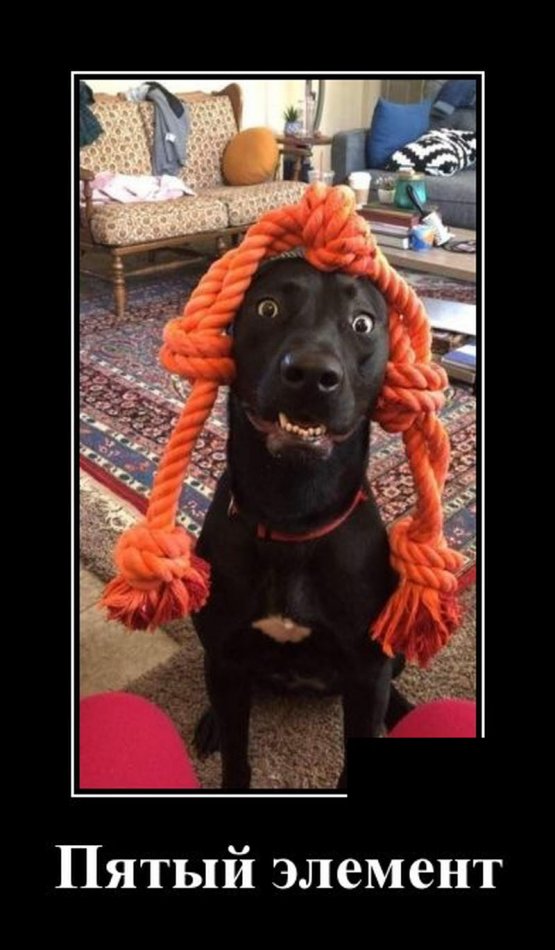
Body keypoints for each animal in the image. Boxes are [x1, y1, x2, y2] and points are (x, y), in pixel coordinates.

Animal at [192, 255, 412, 789]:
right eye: (267, 307)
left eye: (362, 323)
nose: (312, 374)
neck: (291, 514)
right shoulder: (225, 656)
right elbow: (236, 753)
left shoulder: (365, 673)